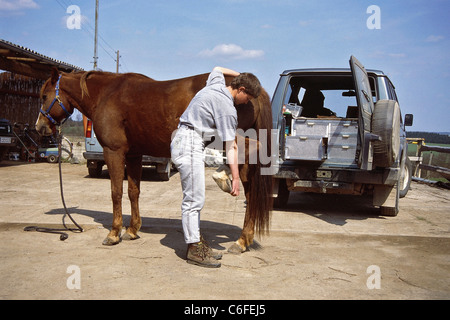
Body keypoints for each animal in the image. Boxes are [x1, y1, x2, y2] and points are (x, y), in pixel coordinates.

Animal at [35, 69, 272, 254]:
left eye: (44, 96)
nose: (40, 127)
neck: (106, 94)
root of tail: (257, 92)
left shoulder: (114, 152)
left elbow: (116, 192)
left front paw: (114, 233)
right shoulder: (134, 155)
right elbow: (133, 191)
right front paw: (132, 230)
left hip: (230, 138)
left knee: (249, 160)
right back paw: (243, 238)